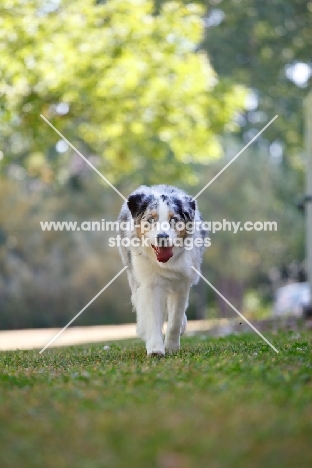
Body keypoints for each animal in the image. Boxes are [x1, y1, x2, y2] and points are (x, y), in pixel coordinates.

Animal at [118, 185, 208, 356]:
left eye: (173, 219)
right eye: (150, 219)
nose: (162, 237)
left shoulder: (182, 283)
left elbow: (175, 320)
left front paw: (172, 347)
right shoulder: (150, 284)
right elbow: (153, 316)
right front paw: (155, 349)